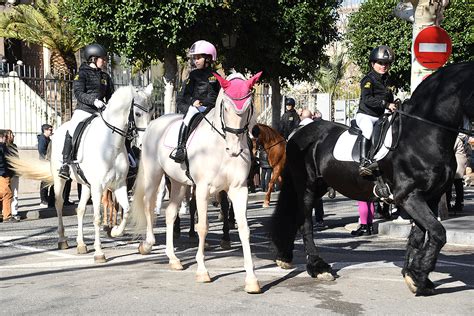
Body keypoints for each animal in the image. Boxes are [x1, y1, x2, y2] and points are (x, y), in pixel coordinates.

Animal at [10, 83, 153, 262]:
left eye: (151, 112)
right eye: (138, 113)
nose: (143, 143)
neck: (111, 144)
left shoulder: (120, 184)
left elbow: (126, 210)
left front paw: (114, 231)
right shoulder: (99, 187)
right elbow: (97, 218)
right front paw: (99, 252)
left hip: (85, 185)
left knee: (80, 209)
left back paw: (81, 244)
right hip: (60, 180)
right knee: (58, 204)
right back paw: (62, 240)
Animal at [131, 71, 262, 294]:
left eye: (248, 107)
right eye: (226, 107)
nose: (235, 149)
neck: (220, 146)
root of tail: (156, 122)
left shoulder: (238, 189)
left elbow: (244, 228)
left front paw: (251, 279)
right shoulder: (202, 189)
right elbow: (202, 227)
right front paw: (202, 271)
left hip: (178, 183)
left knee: (170, 213)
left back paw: (173, 259)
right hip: (154, 175)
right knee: (149, 205)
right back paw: (147, 244)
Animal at [270, 62, 474, 296]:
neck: (424, 135)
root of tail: (297, 134)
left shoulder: (429, 197)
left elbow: (420, 236)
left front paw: (414, 274)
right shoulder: (409, 197)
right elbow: (438, 233)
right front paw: (418, 277)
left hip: (319, 185)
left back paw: (285, 256)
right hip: (307, 186)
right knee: (305, 222)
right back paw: (318, 267)